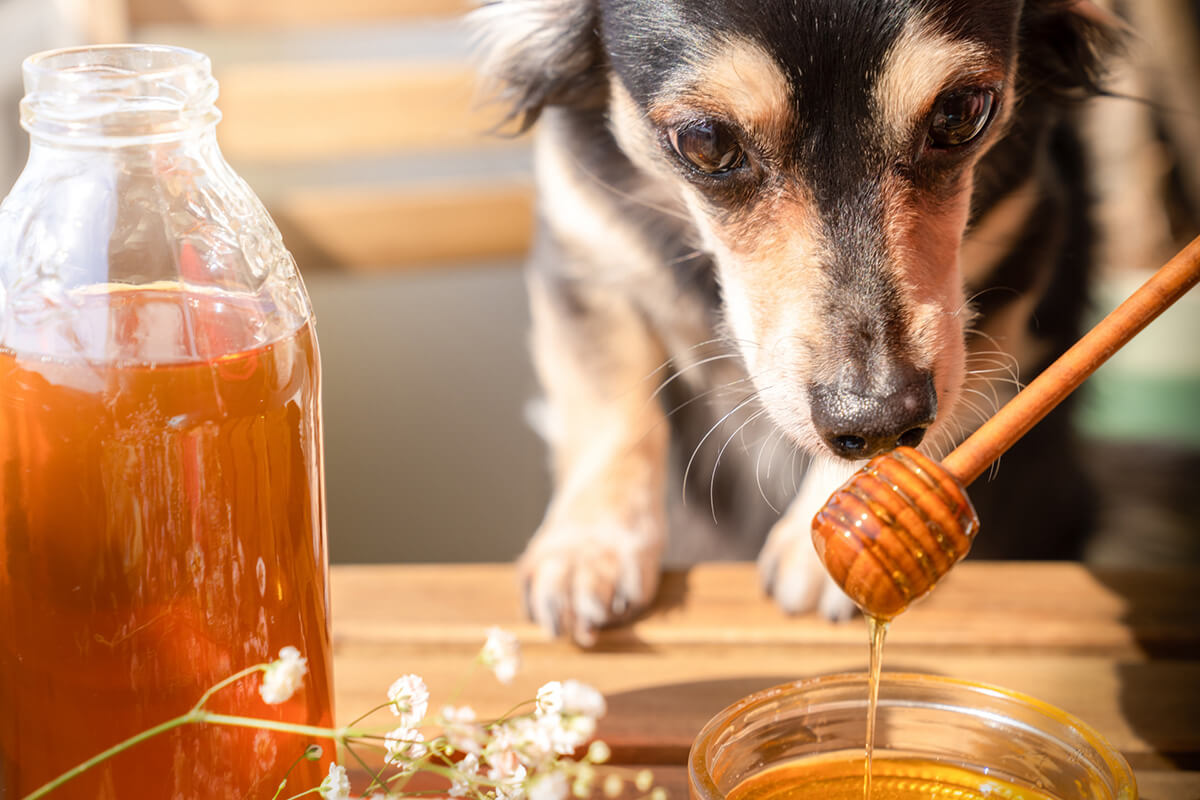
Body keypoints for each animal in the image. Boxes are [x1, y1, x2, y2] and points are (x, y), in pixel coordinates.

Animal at [468, 0, 1113, 642]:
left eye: (961, 113)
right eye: (705, 142)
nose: (879, 422)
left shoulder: (1020, 240)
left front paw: (862, 529)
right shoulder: (588, 244)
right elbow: (611, 412)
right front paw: (589, 547)